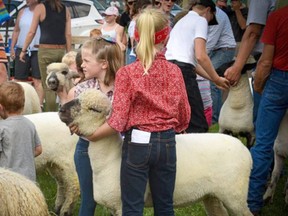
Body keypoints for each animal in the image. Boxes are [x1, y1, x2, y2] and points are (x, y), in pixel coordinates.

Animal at [59, 89, 253, 216]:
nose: (61, 109)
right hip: (212, 196)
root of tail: (245, 150)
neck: (108, 159)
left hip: (235, 195)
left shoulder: (122, 205)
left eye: (94, 109)